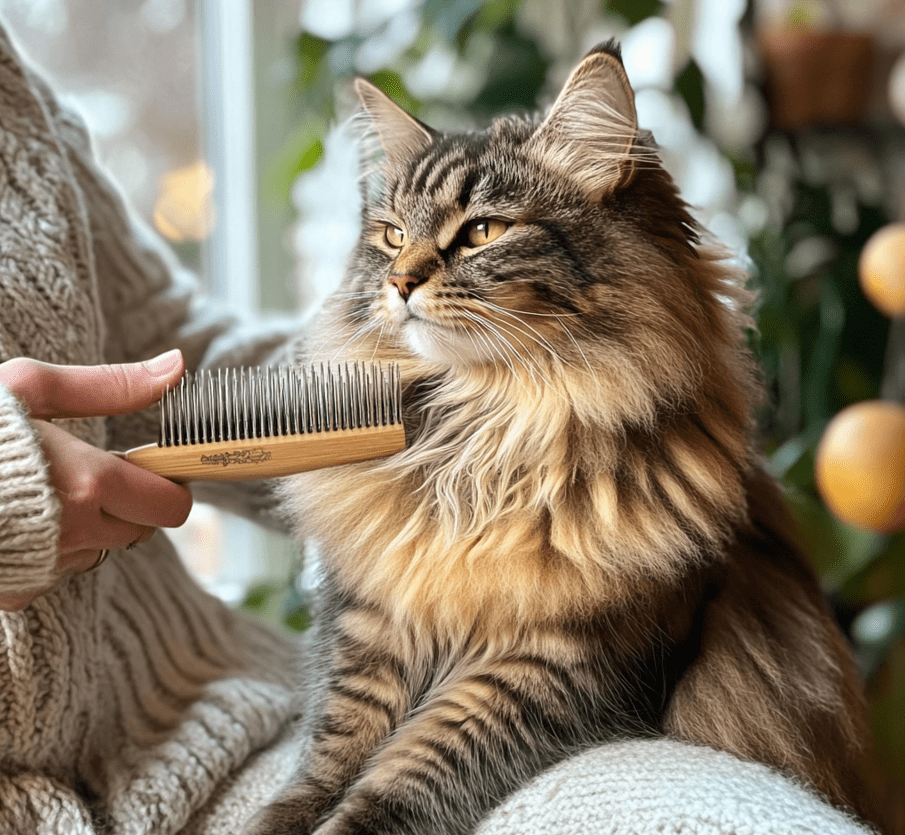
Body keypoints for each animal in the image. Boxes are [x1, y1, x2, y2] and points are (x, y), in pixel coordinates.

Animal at [245, 44, 876, 835]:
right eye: (391, 236)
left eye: (482, 233)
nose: (399, 281)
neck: (483, 439)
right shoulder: (369, 630)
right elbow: (324, 765)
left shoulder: (551, 669)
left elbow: (402, 782)